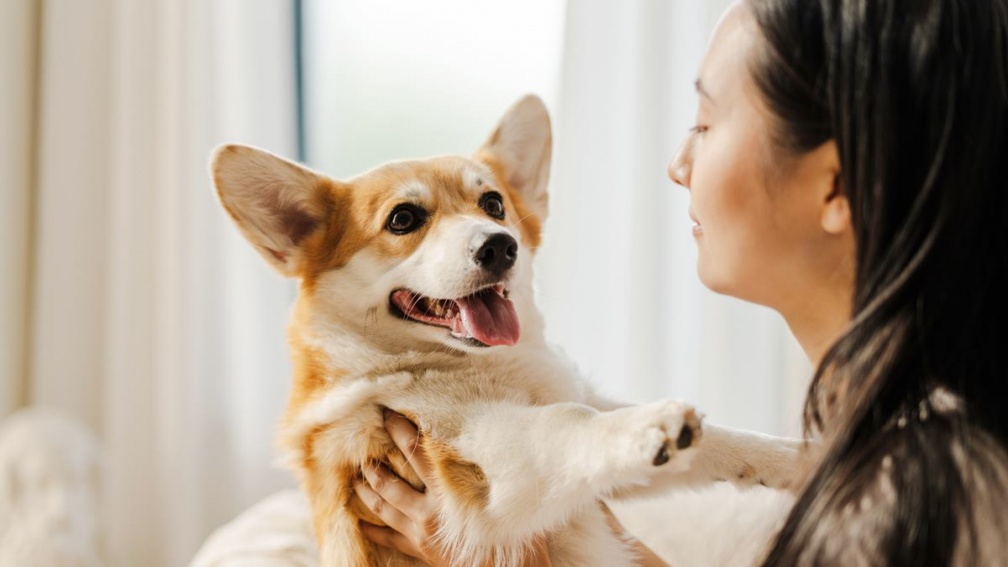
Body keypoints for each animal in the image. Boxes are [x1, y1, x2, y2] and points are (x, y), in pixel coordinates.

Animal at [214, 94, 802, 560]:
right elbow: (571, 422)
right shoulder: (484, 474)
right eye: (403, 219)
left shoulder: (594, 450)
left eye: (493, 203)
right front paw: (653, 425)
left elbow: (724, 443)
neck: (482, 363)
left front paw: (795, 456)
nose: (500, 246)